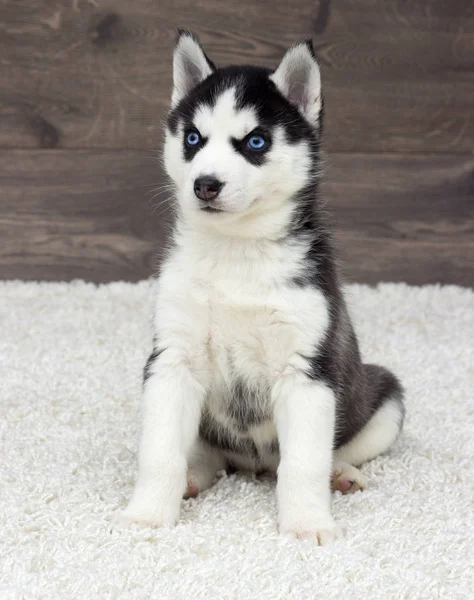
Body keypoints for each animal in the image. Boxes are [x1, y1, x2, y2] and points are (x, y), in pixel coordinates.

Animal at [119, 32, 404, 548]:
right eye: (193, 138)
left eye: (255, 141)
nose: (205, 185)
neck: (237, 254)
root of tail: (253, 466)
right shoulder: (172, 361)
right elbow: (159, 454)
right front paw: (148, 516)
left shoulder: (307, 372)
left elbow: (303, 464)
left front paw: (308, 524)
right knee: (208, 455)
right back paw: (193, 476)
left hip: (385, 399)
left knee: (324, 453)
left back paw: (341, 474)